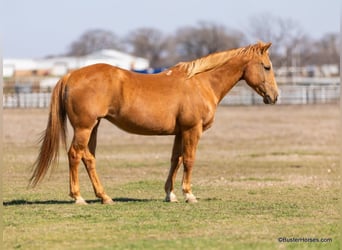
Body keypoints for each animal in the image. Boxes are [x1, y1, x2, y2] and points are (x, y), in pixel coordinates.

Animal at [30, 42, 278, 204]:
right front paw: (189, 194)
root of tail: (69, 75)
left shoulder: (180, 132)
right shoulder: (192, 130)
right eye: (266, 67)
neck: (201, 82)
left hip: (94, 127)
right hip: (84, 127)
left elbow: (176, 160)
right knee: (75, 155)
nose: (275, 96)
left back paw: (104, 197)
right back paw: (78, 197)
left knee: (88, 158)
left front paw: (170, 194)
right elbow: (189, 160)